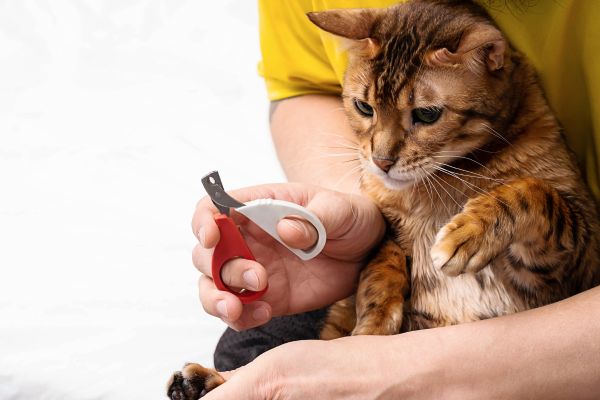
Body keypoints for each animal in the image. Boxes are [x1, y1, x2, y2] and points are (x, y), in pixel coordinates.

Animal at [165, 0, 600, 396]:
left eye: (427, 114)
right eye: (364, 106)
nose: (382, 161)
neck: (450, 177)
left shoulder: (573, 259)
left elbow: (532, 191)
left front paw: (468, 233)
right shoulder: (385, 230)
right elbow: (379, 270)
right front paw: (373, 325)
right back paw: (200, 380)